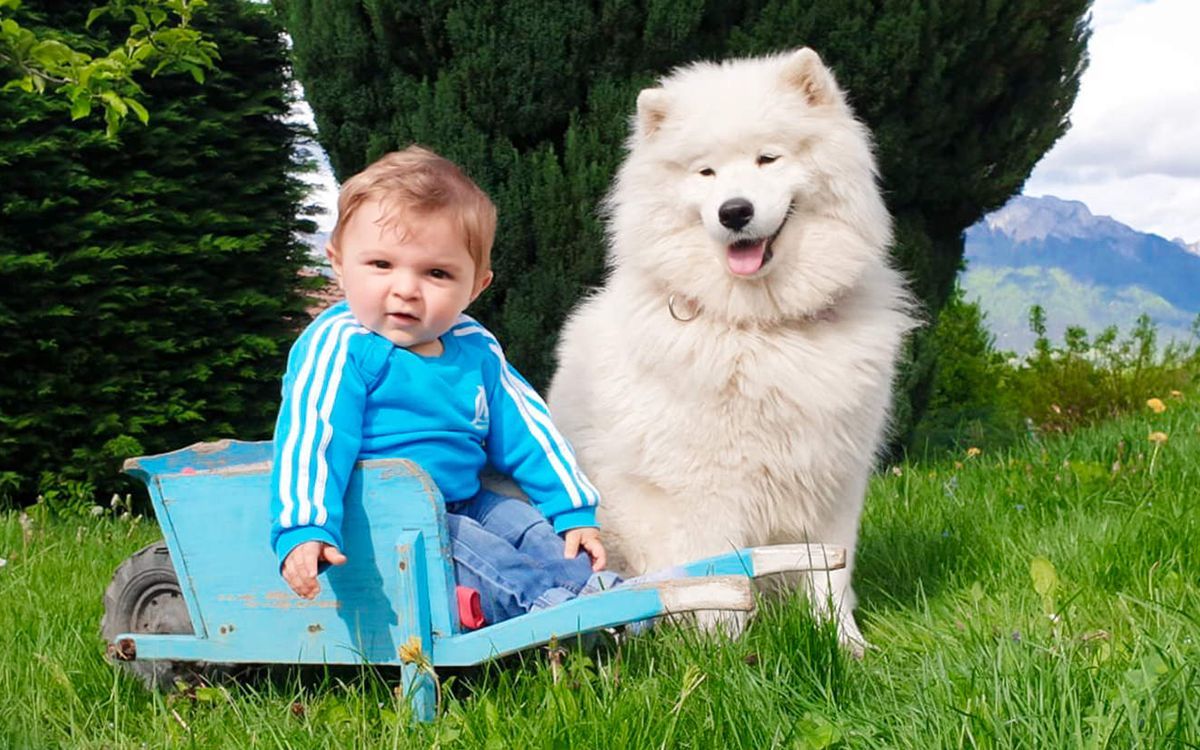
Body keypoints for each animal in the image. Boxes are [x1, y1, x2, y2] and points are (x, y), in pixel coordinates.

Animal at [549, 49, 916, 652]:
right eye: (706, 173)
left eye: (768, 157)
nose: (734, 212)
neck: (760, 326)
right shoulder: (705, 492)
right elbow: (718, 582)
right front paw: (726, 659)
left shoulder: (833, 481)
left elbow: (830, 576)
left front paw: (846, 646)